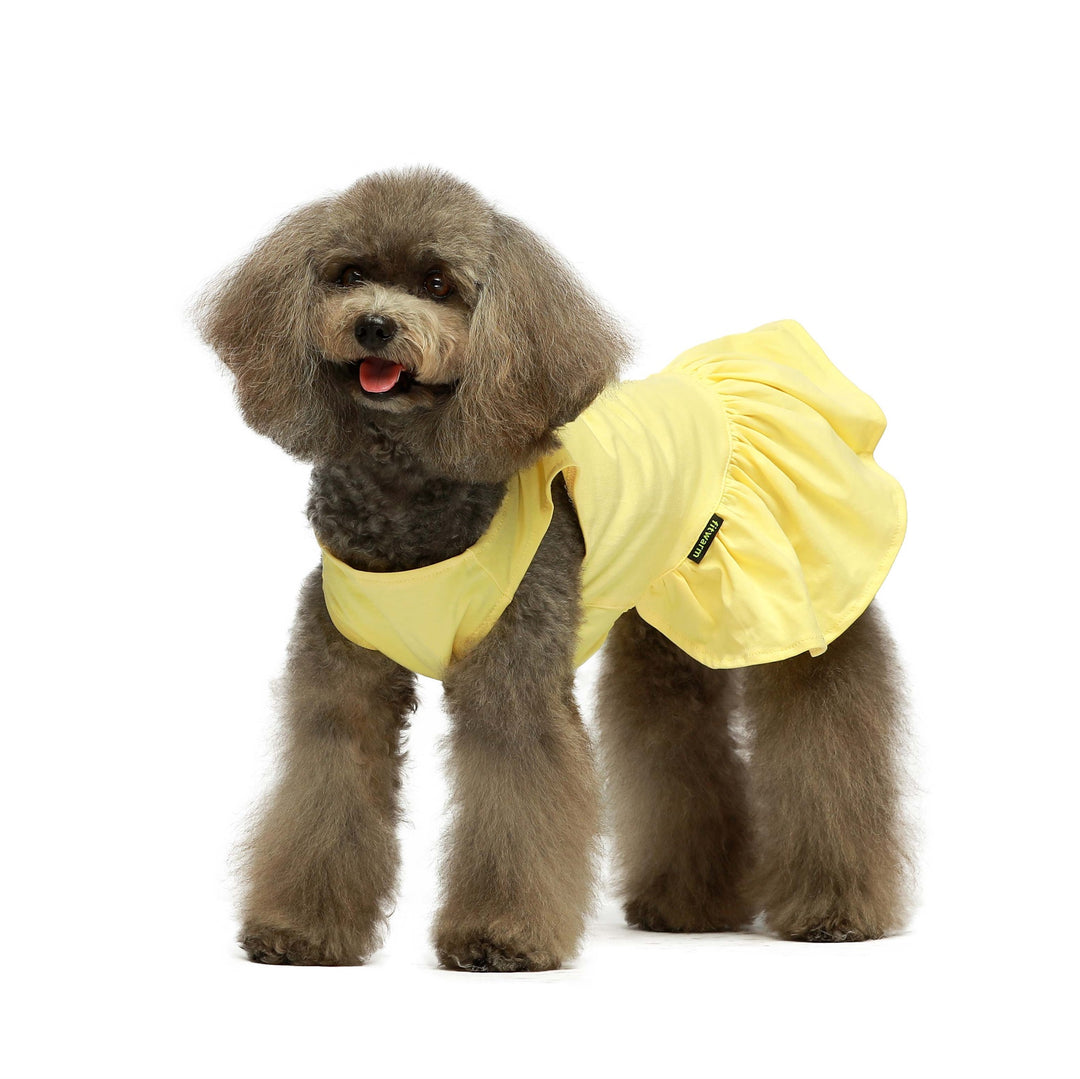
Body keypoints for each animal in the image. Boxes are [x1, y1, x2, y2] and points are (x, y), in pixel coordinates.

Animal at [198, 167, 911, 971]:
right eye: (349, 274)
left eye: (439, 283)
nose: (375, 325)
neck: (409, 489)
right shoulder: (343, 679)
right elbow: (325, 787)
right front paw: (299, 929)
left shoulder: (514, 675)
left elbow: (516, 790)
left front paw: (499, 935)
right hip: (670, 636)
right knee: (679, 744)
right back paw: (688, 905)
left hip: (808, 609)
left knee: (828, 736)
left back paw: (836, 908)